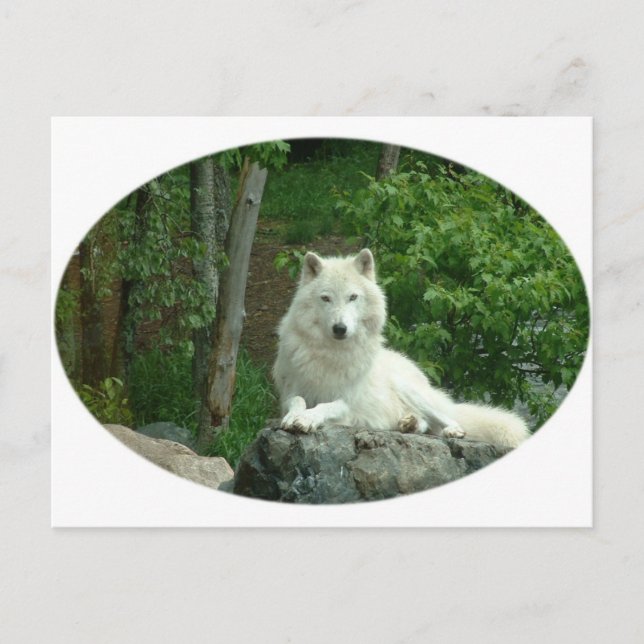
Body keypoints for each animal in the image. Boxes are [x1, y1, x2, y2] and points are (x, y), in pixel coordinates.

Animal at [273, 249, 530, 449]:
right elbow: (297, 401)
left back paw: (450, 430)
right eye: (325, 298)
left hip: (409, 389)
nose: (340, 328)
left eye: (353, 297)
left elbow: (326, 405)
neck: (331, 354)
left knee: (447, 420)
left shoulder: (347, 402)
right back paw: (409, 423)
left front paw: (307, 419)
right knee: (426, 424)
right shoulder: (289, 392)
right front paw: (295, 417)